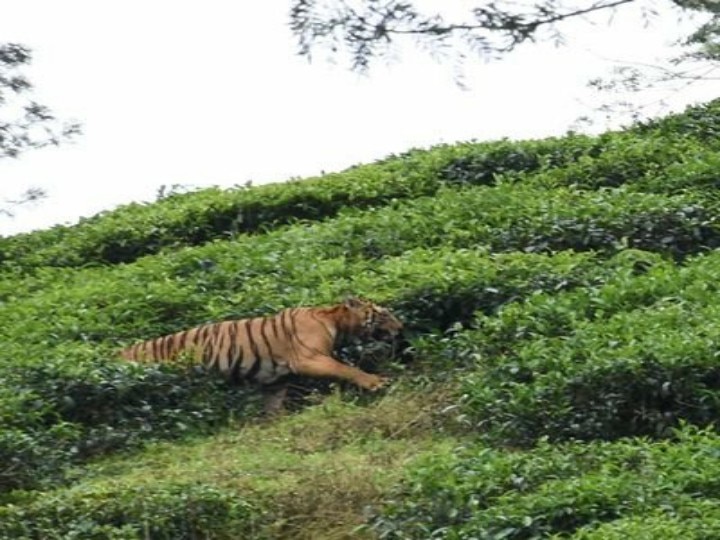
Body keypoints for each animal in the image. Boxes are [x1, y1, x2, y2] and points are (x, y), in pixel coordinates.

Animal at [117, 296, 400, 414]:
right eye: (384, 314)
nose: (401, 327)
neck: (337, 323)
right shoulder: (308, 358)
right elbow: (347, 368)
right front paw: (376, 383)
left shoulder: (275, 379)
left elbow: (273, 405)